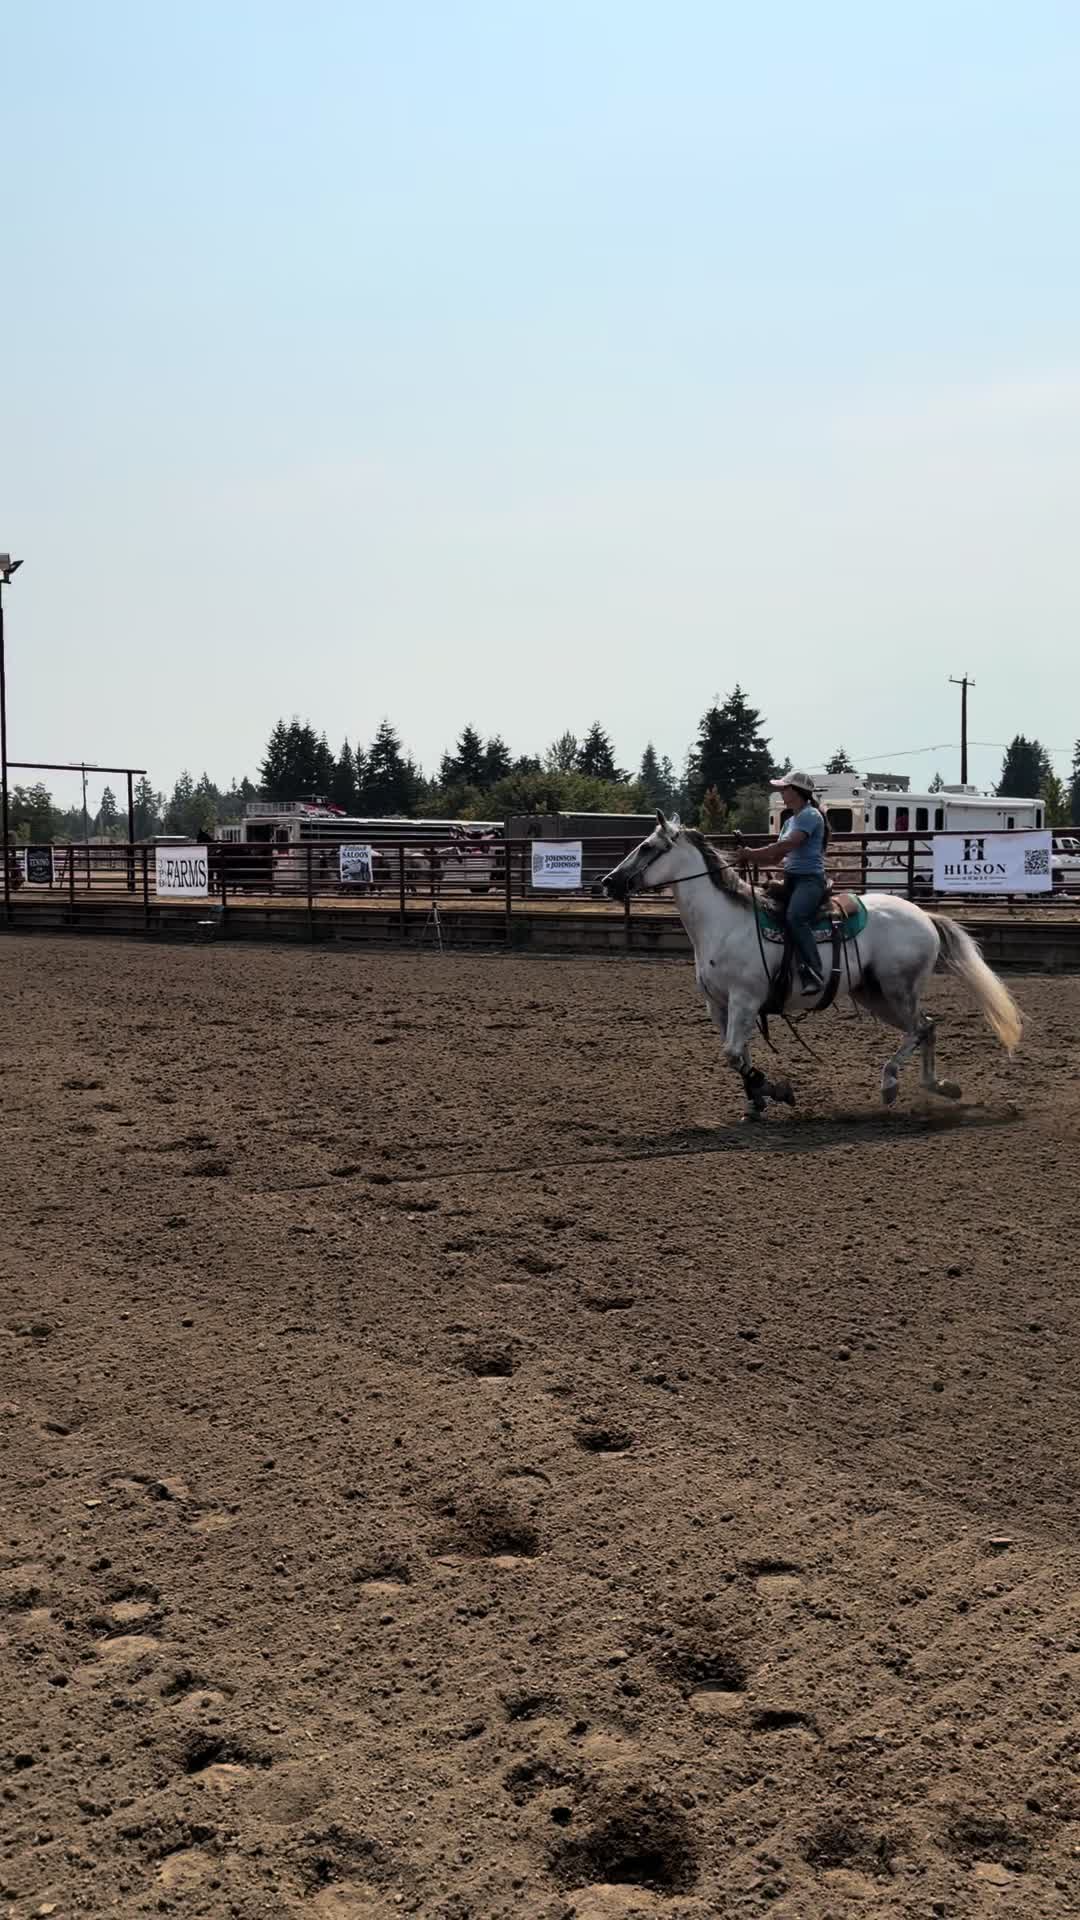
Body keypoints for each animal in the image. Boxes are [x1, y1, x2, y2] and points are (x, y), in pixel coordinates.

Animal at [602, 813, 1022, 1120]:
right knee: (925, 1029)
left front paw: (775, 1090)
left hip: (898, 989)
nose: (608, 882)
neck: (724, 922)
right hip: (874, 994)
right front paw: (756, 1100)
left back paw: (890, 1084)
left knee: (920, 1029)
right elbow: (739, 1056)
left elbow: (733, 1054)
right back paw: (939, 1087)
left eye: (647, 846)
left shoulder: (745, 999)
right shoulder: (719, 1004)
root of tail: (924, 915)